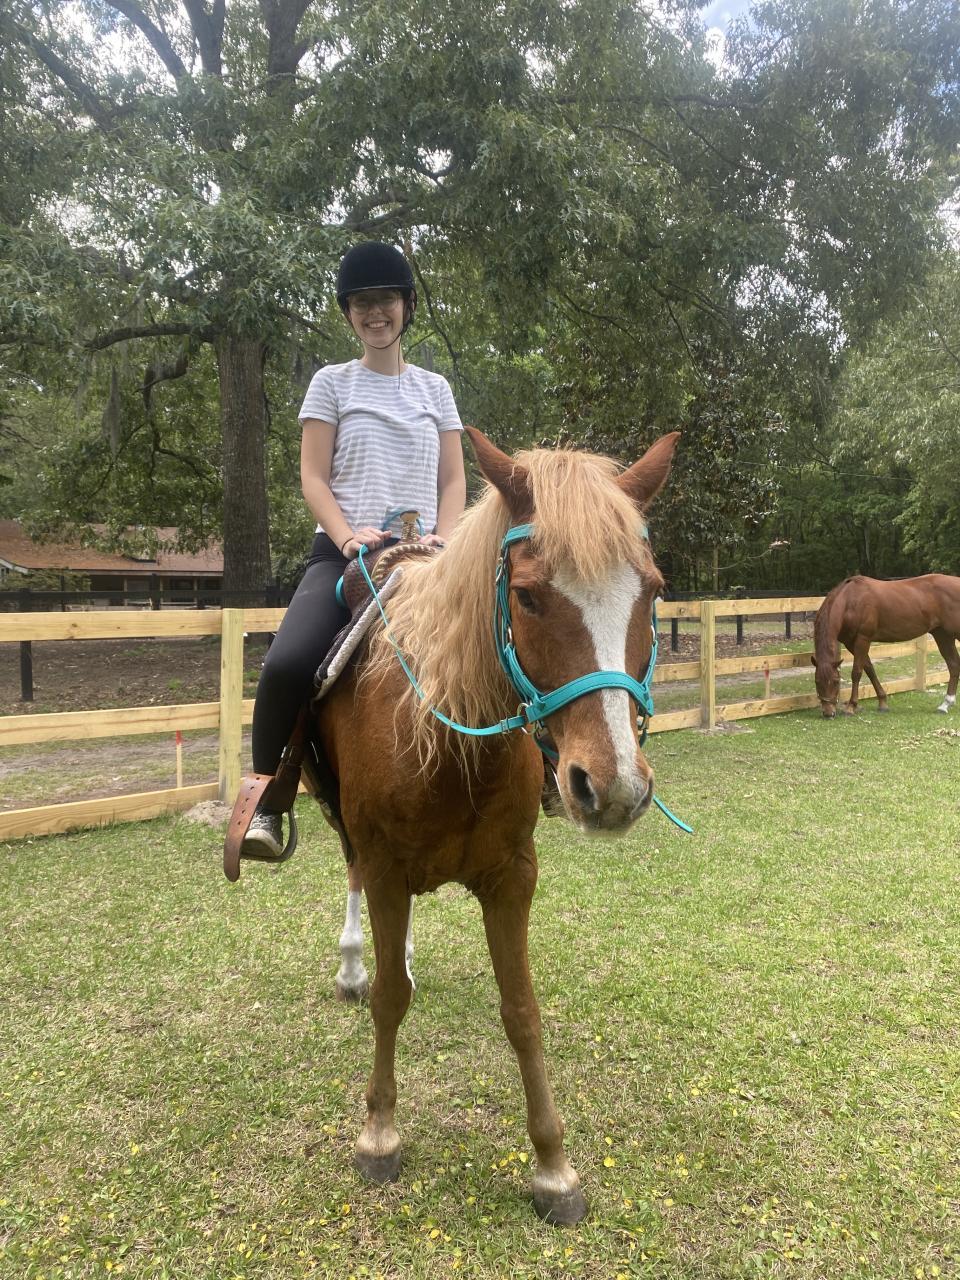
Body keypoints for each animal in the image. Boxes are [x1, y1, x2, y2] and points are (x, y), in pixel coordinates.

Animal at [314, 426, 679, 1224]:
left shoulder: (513, 877)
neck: (447, 739)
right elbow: (389, 1001)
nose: (613, 787)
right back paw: (355, 963)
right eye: (530, 596)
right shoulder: (384, 864)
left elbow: (522, 1012)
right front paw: (379, 1133)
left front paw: (553, 1169)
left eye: (653, 591)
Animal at [812, 574, 960, 718]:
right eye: (817, 681)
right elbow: (869, 669)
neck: (851, 601)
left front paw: (851, 707)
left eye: (836, 681)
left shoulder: (862, 639)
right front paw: (882, 702)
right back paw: (945, 705)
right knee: (953, 665)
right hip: (943, 635)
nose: (828, 713)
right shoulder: (850, 643)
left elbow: (857, 672)